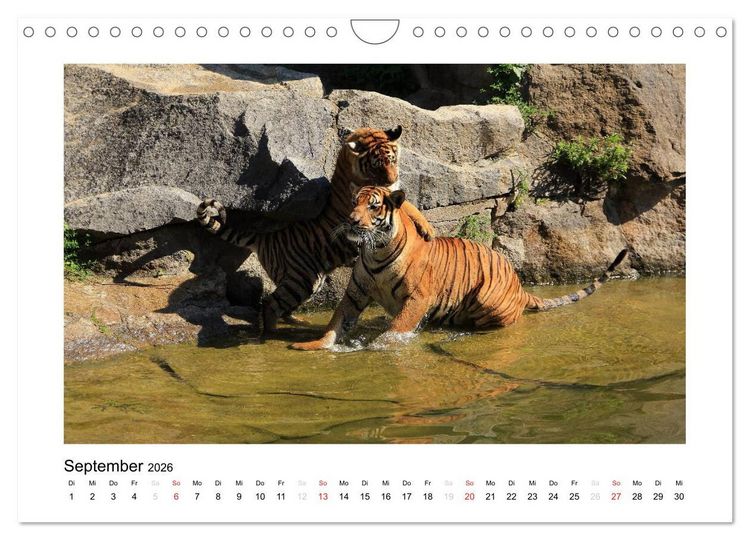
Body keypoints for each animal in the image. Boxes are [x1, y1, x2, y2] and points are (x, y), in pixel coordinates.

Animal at [196, 126, 436, 334]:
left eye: (392, 160)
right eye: (377, 165)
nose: (394, 178)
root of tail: (267, 236)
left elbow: (406, 205)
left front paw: (426, 229)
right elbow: (404, 205)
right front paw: (427, 229)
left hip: (309, 282)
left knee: (282, 307)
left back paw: (299, 322)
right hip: (300, 280)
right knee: (270, 303)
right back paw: (271, 334)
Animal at [291, 186, 628, 351]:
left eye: (373, 206)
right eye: (353, 203)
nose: (351, 221)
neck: (375, 251)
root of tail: (520, 287)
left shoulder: (418, 298)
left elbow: (396, 329)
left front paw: (377, 347)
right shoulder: (355, 293)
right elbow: (336, 322)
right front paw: (314, 345)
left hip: (486, 298)